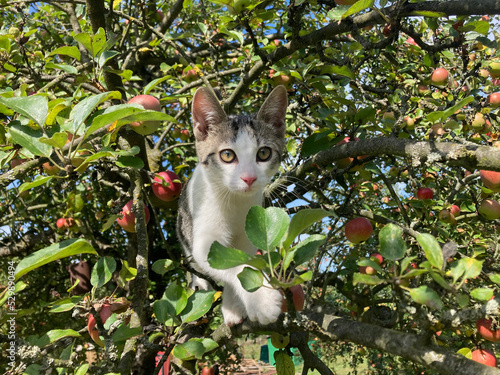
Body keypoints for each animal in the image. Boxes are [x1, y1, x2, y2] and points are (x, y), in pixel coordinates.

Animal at [177, 85, 288, 326]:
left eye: (264, 153)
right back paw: (200, 284)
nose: (249, 178)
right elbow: (228, 261)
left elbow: (241, 257)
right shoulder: (204, 237)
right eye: (227, 155)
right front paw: (262, 300)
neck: (235, 201)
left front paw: (235, 306)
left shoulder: (249, 233)